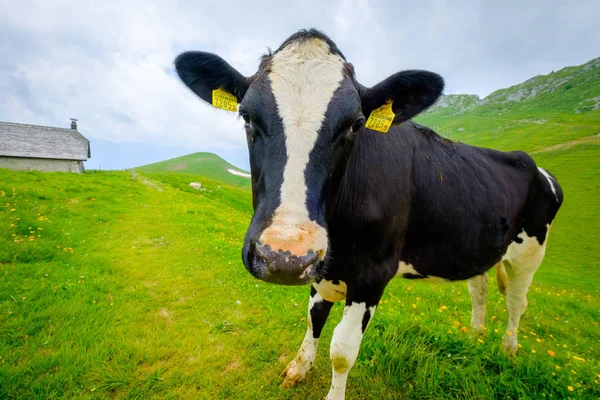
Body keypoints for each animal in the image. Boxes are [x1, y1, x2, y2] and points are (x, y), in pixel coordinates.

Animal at [173, 28, 564, 400]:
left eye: (356, 124)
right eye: (247, 116)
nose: (283, 257)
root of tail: (533, 164)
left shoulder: (373, 273)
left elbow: (342, 350)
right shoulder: (321, 263)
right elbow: (314, 318)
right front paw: (298, 368)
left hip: (531, 251)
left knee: (517, 301)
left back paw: (507, 349)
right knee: (479, 289)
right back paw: (475, 336)